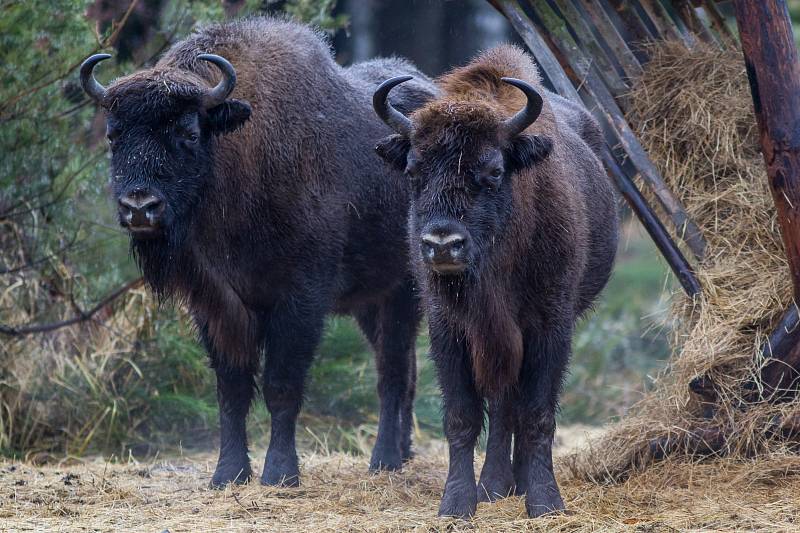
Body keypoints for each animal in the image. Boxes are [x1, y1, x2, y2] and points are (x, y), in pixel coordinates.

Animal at [374, 43, 620, 516]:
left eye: (492, 172)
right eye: (413, 172)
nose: (443, 244)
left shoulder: (549, 326)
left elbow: (537, 414)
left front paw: (545, 501)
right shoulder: (449, 330)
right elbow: (463, 416)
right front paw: (456, 503)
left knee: (515, 406)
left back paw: (512, 484)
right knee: (503, 405)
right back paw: (494, 486)